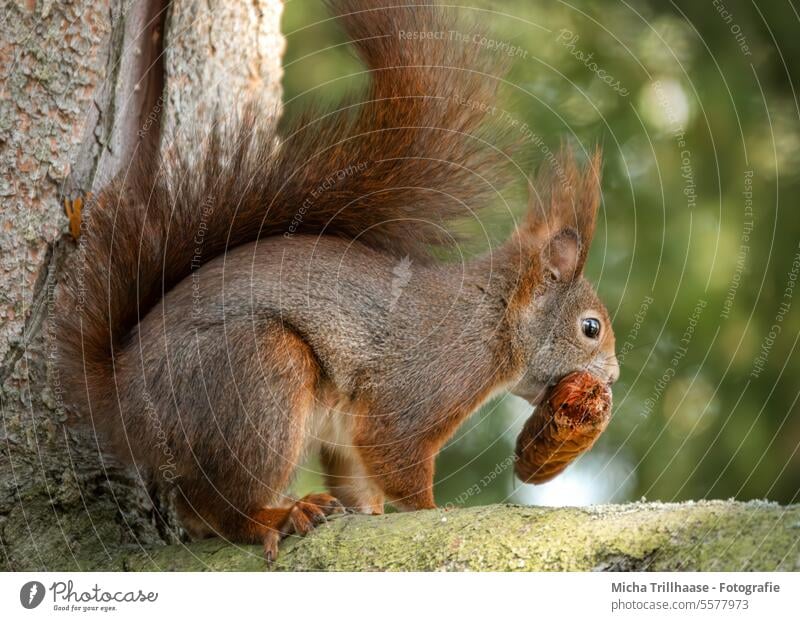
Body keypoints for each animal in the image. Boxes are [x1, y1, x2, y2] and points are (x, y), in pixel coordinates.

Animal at [56, 0, 620, 560]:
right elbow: (394, 448)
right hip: (257, 372)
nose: (612, 377)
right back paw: (276, 516)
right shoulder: (432, 374)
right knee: (220, 503)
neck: (495, 314)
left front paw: (369, 514)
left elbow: (357, 473)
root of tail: (119, 394)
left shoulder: (347, 427)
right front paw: (433, 511)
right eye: (590, 328)